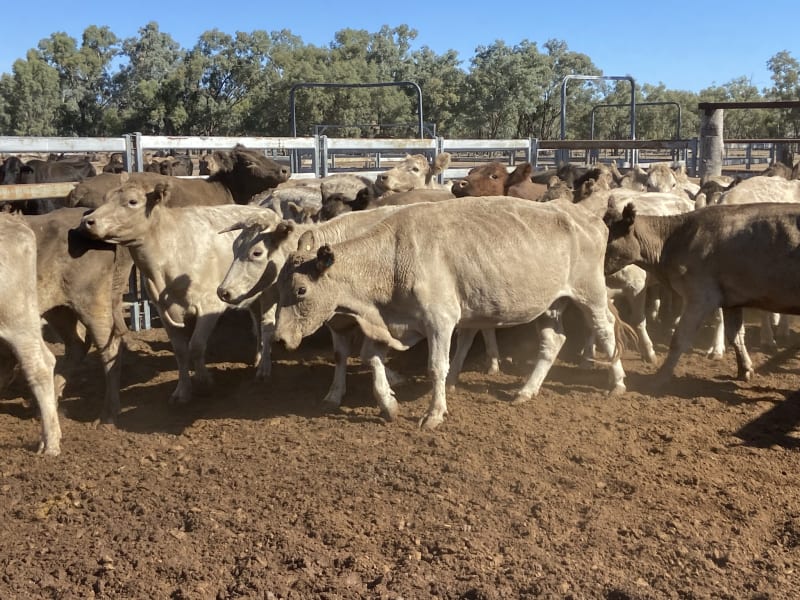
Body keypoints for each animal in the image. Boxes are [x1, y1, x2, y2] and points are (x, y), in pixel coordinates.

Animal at [79, 180, 283, 404]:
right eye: (105, 198)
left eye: (132, 201)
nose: (88, 221)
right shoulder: (164, 312)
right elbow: (181, 351)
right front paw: (182, 391)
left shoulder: (210, 306)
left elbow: (196, 346)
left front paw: (204, 381)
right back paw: (257, 356)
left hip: (271, 290)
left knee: (266, 324)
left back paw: (264, 367)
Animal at [274, 196, 626, 429]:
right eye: (277, 286)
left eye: (301, 290)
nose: (279, 339)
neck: (391, 259)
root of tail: (584, 215)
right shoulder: (390, 322)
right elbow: (372, 358)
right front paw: (388, 404)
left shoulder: (439, 322)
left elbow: (436, 367)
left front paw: (433, 414)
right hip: (551, 304)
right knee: (553, 342)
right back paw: (526, 391)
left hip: (590, 293)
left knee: (606, 329)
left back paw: (618, 383)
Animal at [603, 201, 800, 388]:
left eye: (608, 239)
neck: (675, 238)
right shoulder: (731, 301)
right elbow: (735, 336)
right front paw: (745, 370)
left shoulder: (700, 298)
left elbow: (679, 339)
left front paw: (659, 378)